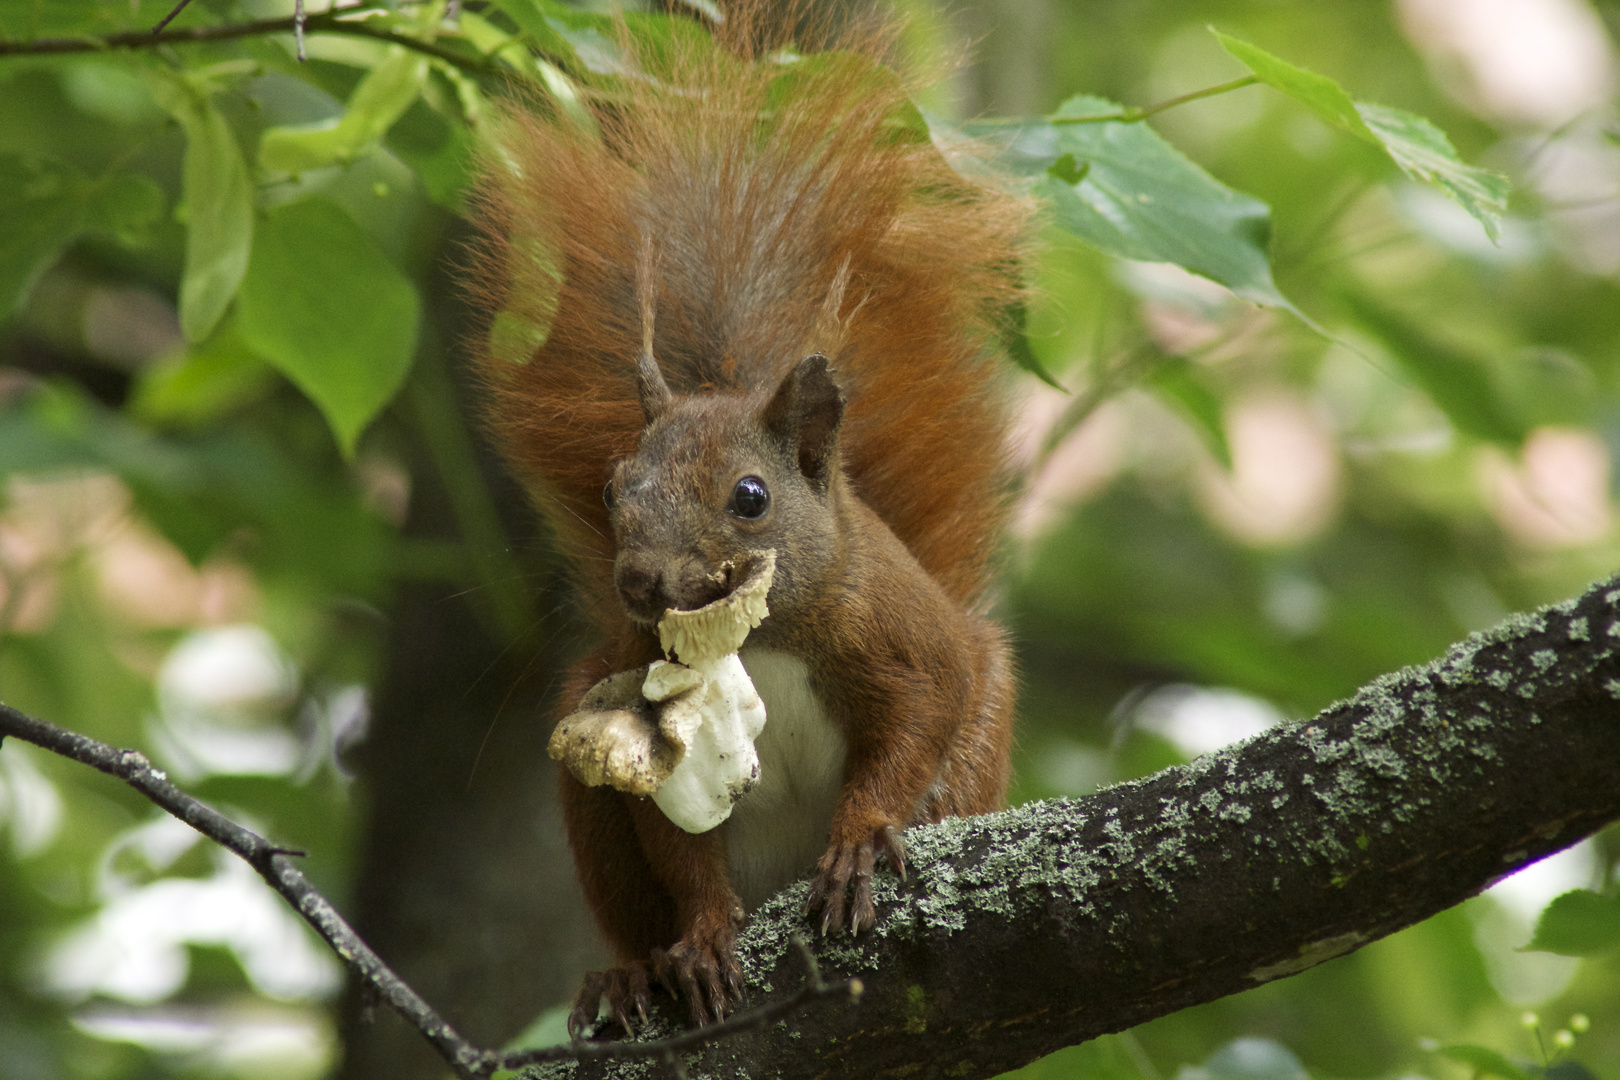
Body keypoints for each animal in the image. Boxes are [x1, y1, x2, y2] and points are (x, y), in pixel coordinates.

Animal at [469, 0, 1023, 1036]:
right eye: (612, 490)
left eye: (751, 499)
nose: (640, 581)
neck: (759, 642)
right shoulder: (646, 730)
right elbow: (680, 848)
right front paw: (700, 938)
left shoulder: (904, 641)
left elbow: (916, 724)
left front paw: (861, 841)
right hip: (588, 779)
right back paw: (630, 975)